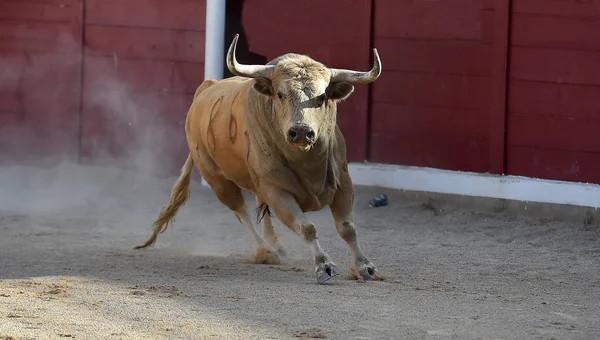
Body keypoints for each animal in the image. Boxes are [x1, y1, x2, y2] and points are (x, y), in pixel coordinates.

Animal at [135, 34, 380, 284]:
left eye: (321, 97)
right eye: (280, 94)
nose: (301, 132)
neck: (308, 163)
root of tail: (205, 88)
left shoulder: (343, 183)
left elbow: (347, 228)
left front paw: (365, 267)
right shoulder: (277, 191)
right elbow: (306, 227)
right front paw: (324, 265)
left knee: (259, 207)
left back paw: (277, 247)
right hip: (217, 179)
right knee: (241, 211)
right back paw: (266, 252)